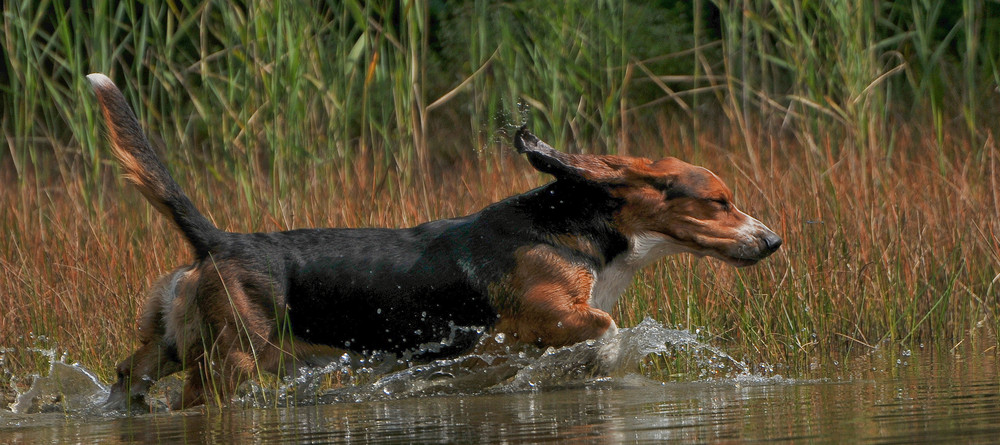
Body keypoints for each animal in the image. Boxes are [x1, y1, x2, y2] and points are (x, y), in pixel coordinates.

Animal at [88, 73, 780, 410]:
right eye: (719, 201)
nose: (773, 241)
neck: (578, 228)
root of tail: (218, 242)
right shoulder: (554, 315)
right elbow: (605, 331)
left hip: (169, 344)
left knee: (129, 375)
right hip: (232, 362)